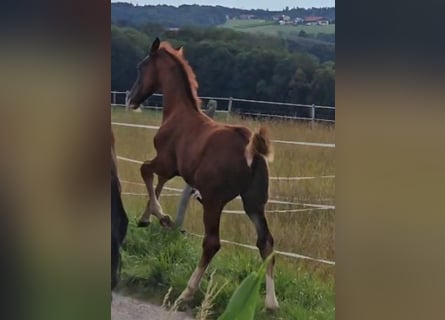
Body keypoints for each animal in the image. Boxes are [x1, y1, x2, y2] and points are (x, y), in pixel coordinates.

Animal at [125, 38, 278, 308]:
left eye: (140, 67)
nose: (131, 99)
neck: (178, 113)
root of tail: (252, 148)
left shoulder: (166, 163)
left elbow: (145, 170)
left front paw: (162, 217)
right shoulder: (171, 169)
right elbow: (157, 182)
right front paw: (147, 218)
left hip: (214, 200)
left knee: (212, 242)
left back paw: (187, 292)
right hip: (254, 203)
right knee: (266, 243)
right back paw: (271, 303)